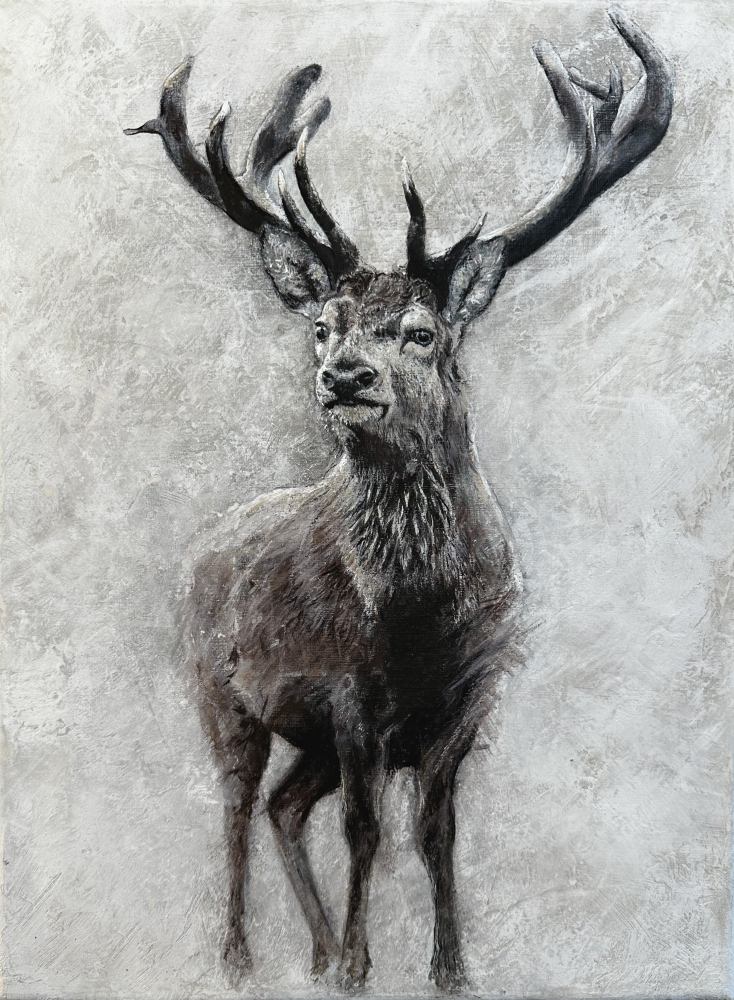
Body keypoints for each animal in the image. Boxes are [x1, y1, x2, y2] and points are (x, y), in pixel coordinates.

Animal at [126, 6, 673, 992]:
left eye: (420, 332)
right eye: (322, 326)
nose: (344, 376)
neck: (416, 615)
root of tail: (201, 545)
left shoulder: (469, 697)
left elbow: (438, 833)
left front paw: (449, 966)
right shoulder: (349, 694)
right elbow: (366, 831)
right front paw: (358, 965)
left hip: (300, 734)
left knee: (283, 806)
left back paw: (308, 949)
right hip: (219, 689)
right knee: (236, 807)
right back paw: (241, 954)